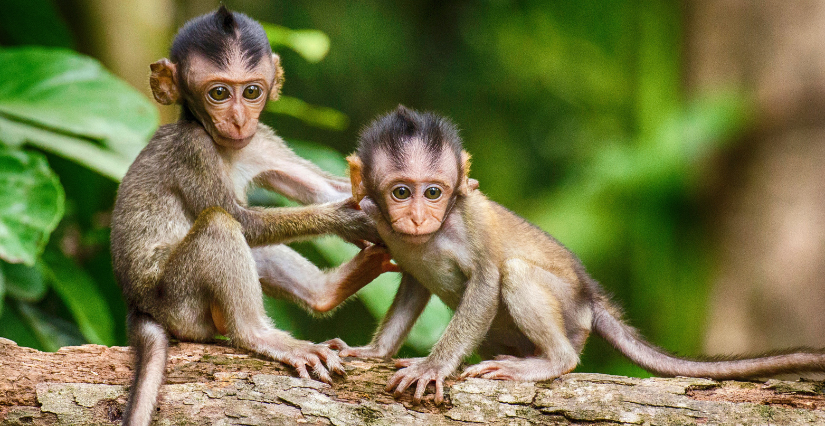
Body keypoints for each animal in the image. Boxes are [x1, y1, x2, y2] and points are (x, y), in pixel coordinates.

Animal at [111, 7, 392, 426]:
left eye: (252, 92)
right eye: (219, 93)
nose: (239, 119)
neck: (224, 146)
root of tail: (138, 306)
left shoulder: (261, 140)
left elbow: (324, 189)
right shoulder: (192, 149)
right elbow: (241, 220)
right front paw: (349, 219)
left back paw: (326, 292)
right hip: (179, 303)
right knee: (219, 225)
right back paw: (260, 335)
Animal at [328, 105, 825, 404]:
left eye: (433, 192)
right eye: (401, 192)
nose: (417, 217)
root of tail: (591, 298)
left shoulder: (467, 218)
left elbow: (488, 280)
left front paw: (433, 365)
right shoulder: (378, 222)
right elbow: (413, 283)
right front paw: (373, 351)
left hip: (571, 313)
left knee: (516, 273)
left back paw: (553, 361)